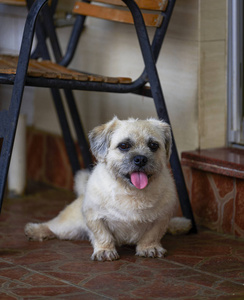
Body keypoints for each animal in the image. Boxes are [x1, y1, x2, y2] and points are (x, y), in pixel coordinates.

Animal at [24, 116, 191, 260]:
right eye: (124, 146)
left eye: (153, 145)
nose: (141, 159)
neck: (132, 192)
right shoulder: (95, 217)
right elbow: (102, 235)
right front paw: (105, 251)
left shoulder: (161, 219)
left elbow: (151, 235)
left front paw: (149, 248)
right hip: (68, 227)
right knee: (52, 226)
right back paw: (35, 230)